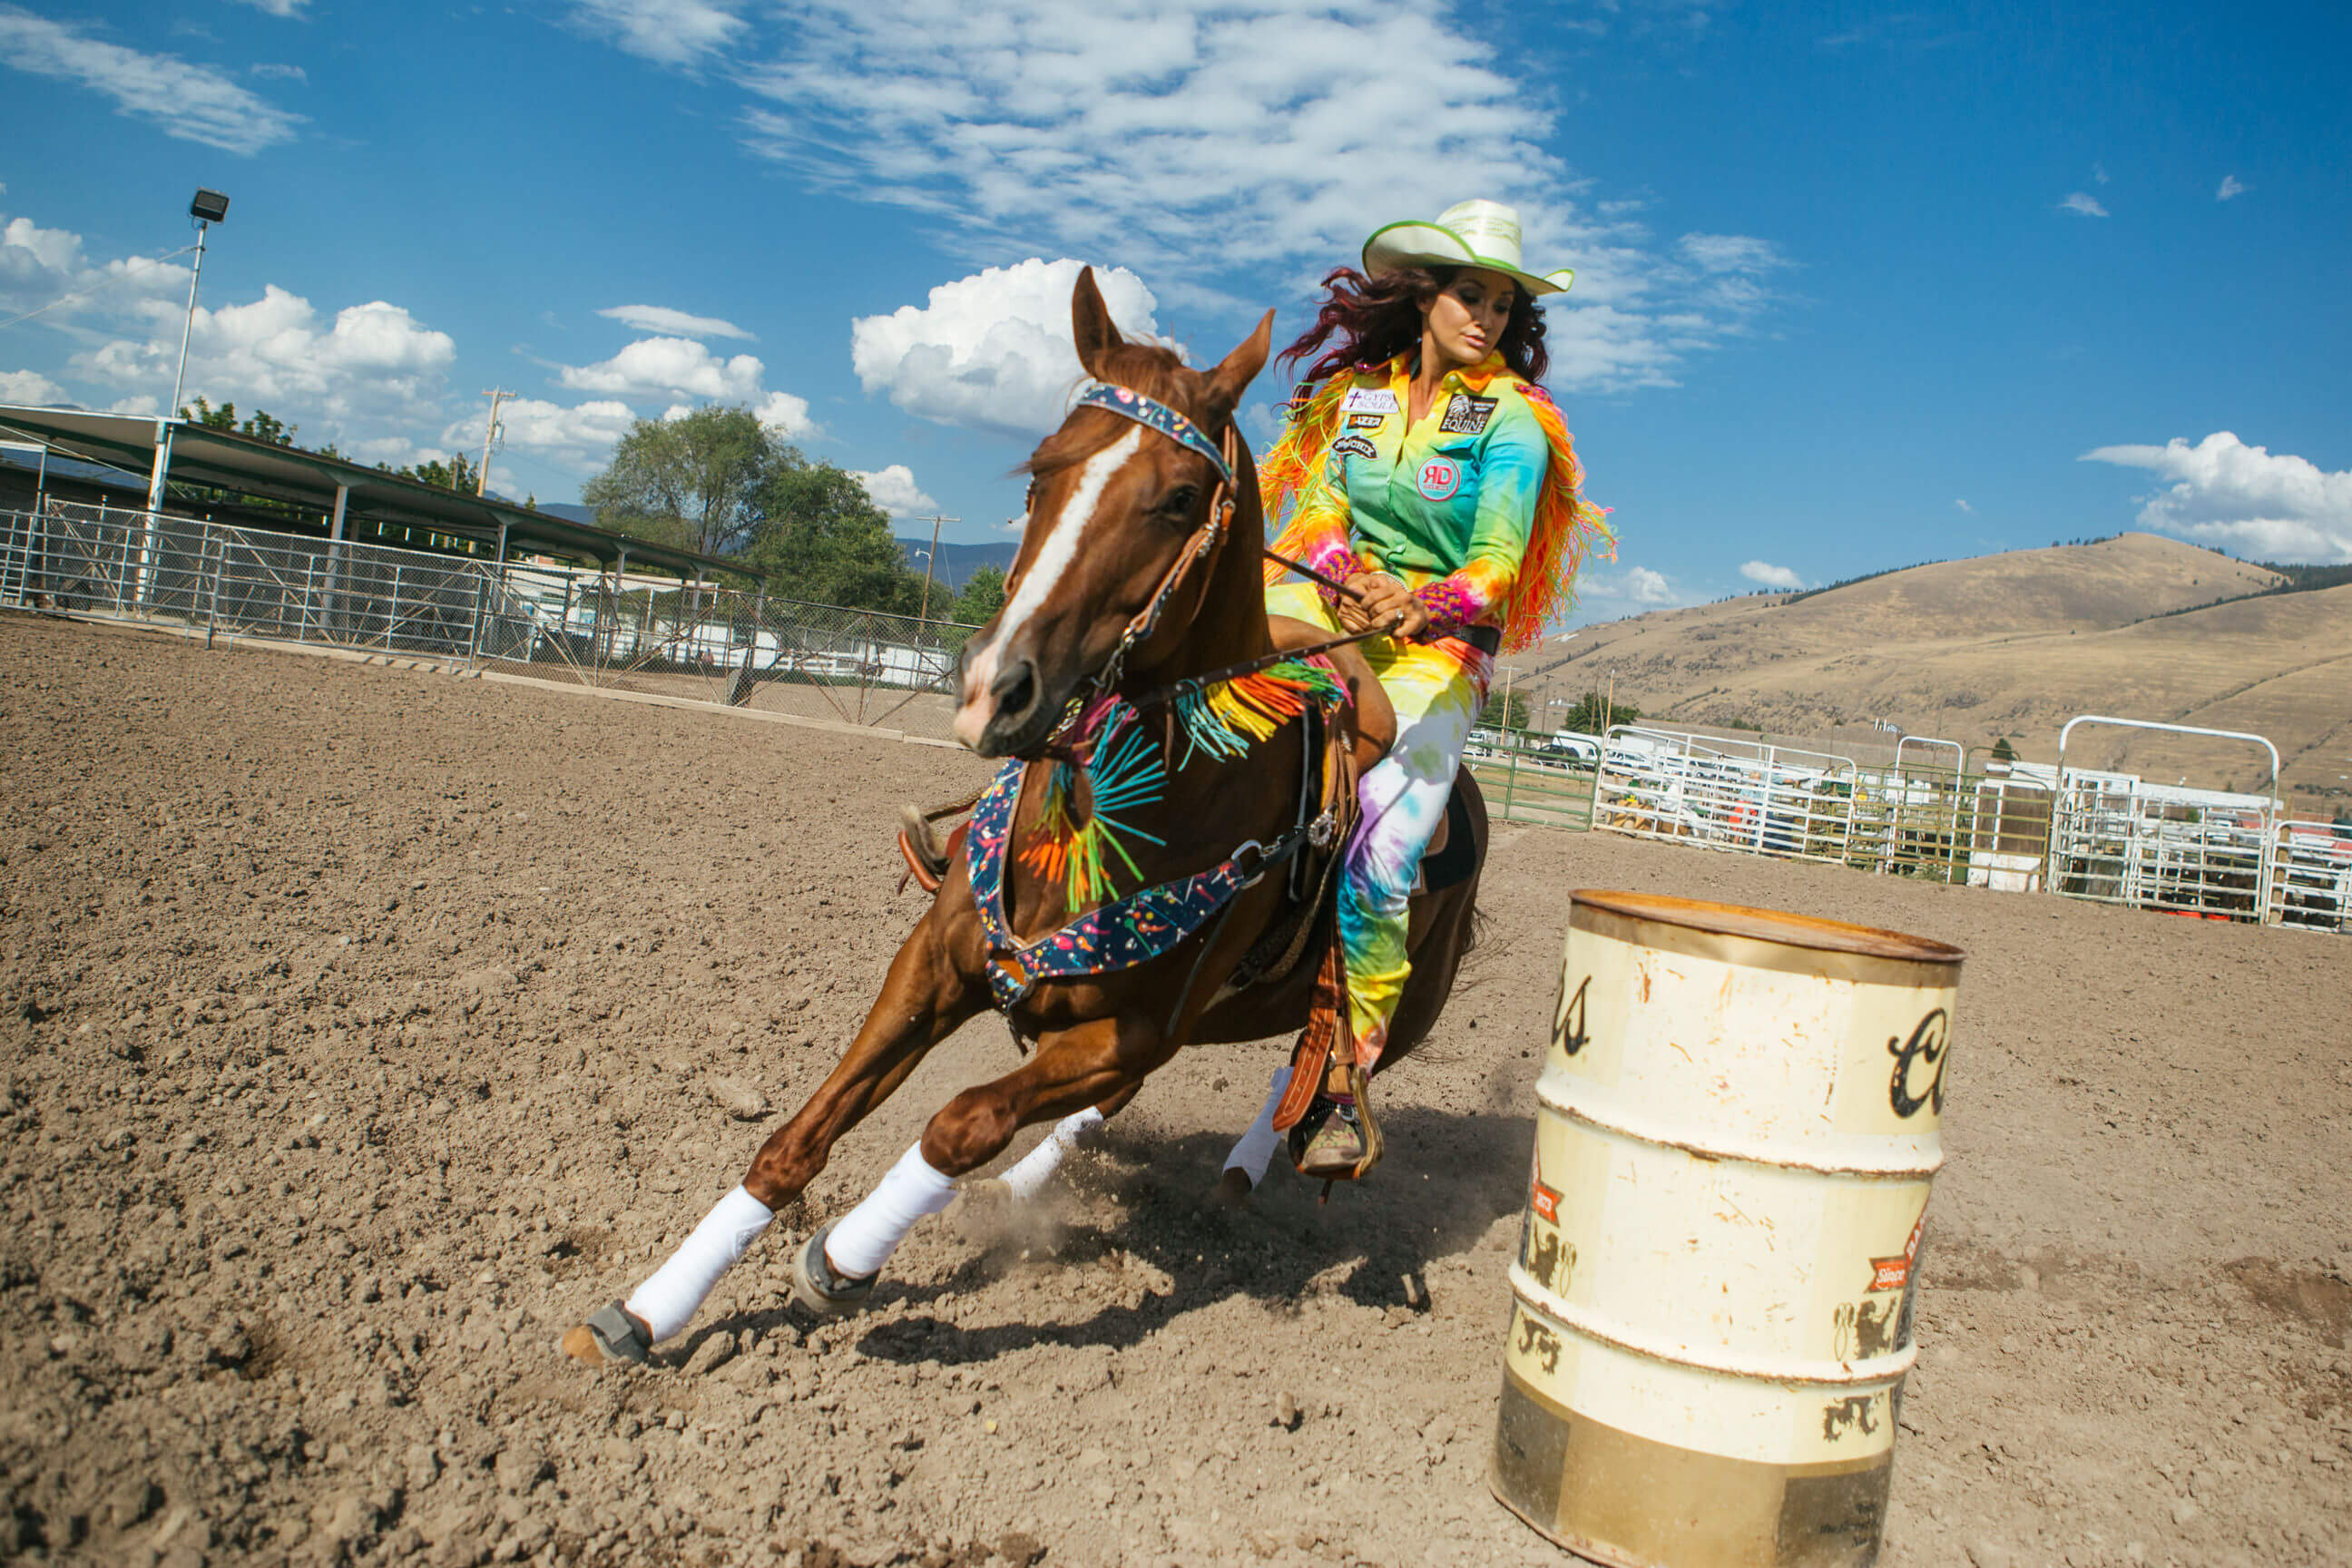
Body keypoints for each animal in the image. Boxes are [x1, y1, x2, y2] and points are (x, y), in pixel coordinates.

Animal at [564, 272, 1486, 1372]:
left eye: (1181, 497)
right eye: (1041, 471)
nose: (992, 693)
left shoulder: (1127, 1033)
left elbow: (957, 1125)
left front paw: (845, 1259)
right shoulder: (936, 967)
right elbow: (799, 1138)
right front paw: (654, 1306)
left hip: (1386, 1019)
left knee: (1316, 1060)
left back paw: (1252, 1160)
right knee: (1107, 1114)